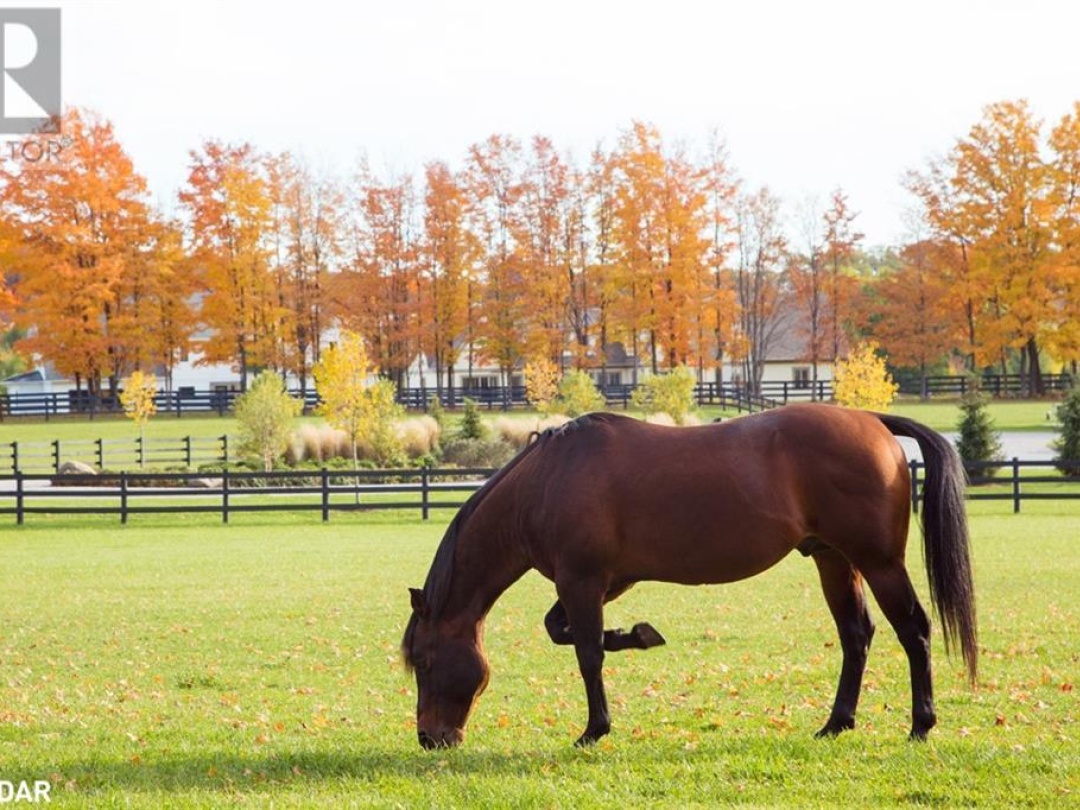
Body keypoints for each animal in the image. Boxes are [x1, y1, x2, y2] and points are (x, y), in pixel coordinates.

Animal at [403, 408, 980, 751]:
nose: (430, 737)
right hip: (833, 560)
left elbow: (586, 652)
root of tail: (872, 420)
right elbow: (563, 630)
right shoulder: (605, 582)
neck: (547, 481)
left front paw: (594, 729)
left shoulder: (582, 580)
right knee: (856, 636)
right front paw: (636, 635)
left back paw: (921, 723)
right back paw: (837, 722)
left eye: (425, 662)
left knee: (914, 631)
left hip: (879, 563)